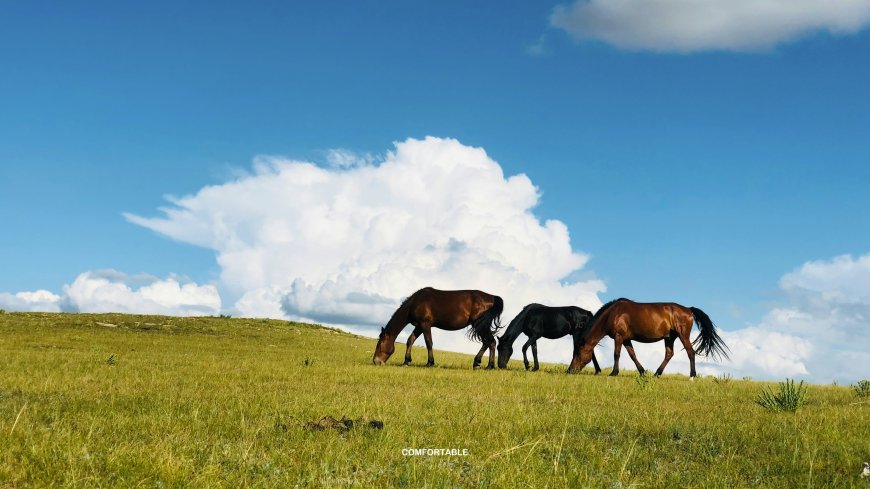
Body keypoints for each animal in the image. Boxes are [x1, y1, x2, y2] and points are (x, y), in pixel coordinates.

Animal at [372, 287, 504, 369]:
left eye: (380, 345)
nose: (376, 361)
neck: (415, 303)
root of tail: (493, 297)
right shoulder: (419, 326)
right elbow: (410, 340)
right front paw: (406, 361)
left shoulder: (425, 324)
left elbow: (429, 342)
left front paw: (430, 363)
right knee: (488, 342)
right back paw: (480, 363)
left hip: (480, 325)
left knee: (490, 342)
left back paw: (487, 365)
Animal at [567, 298, 729, 378]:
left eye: (577, 353)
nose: (569, 371)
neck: (613, 314)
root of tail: (688, 309)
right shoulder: (626, 339)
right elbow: (632, 355)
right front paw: (642, 372)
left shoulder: (619, 337)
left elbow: (616, 354)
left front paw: (614, 373)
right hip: (669, 338)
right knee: (669, 354)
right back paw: (657, 373)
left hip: (683, 335)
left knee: (691, 352)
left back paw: (692, 376)